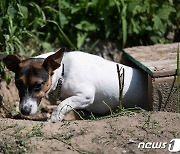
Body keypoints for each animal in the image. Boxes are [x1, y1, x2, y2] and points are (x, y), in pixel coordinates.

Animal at [0, 48, 148, 122]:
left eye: (38, 85)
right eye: (18, 84)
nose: (24, 111)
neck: (63, 74)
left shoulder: (86, 96)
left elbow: (63, 104)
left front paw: (54, 117)